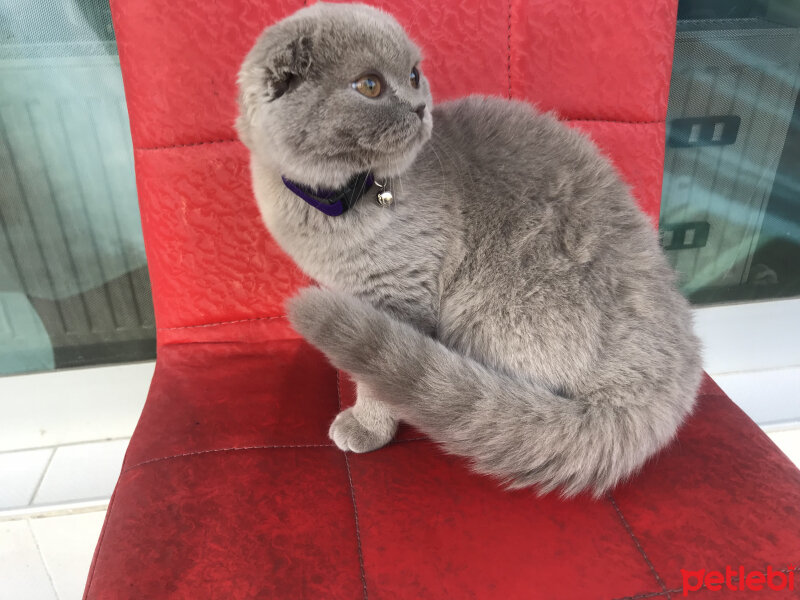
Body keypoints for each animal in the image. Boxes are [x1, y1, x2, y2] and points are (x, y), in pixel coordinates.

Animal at [238, 1, 700, 496]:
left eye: (415, 75)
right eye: (370, 85)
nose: (421, 107)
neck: (334, 201)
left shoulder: (401, 294)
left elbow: (378, 380)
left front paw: (367, 425)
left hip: (497, 306)